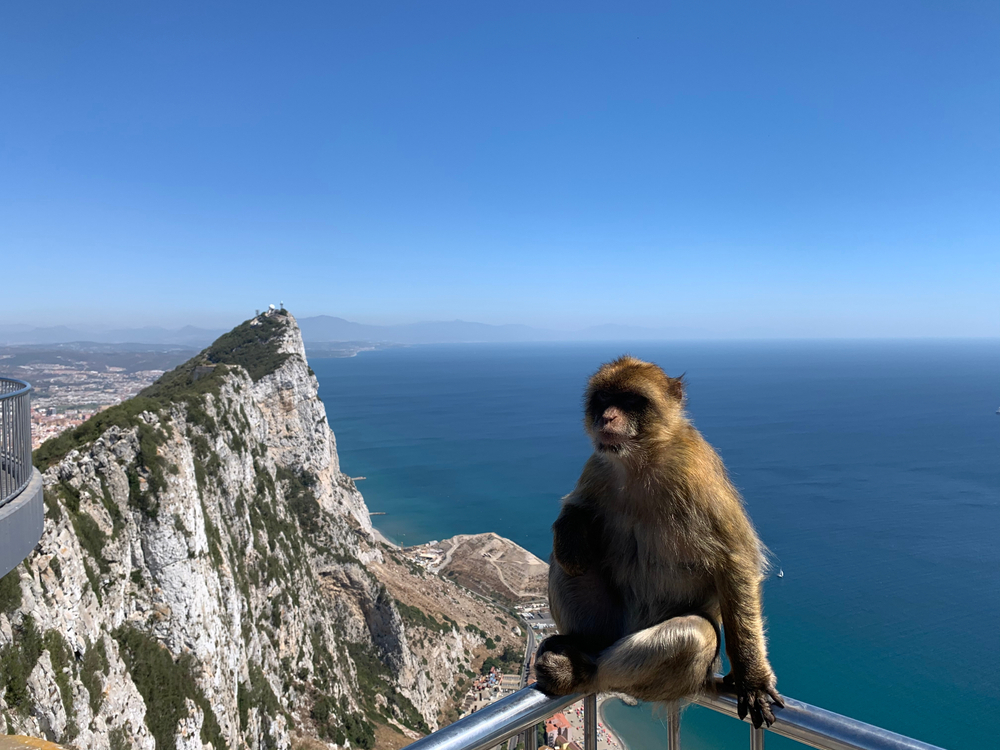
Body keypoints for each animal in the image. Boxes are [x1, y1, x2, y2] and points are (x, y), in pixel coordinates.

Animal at [536, 356, 784, 728]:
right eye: (603, 398)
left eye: (630, 401)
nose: (607, 417)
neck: (639, 461)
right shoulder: (598, 465)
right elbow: (577, 508)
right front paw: (572, 533)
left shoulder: (694, 471)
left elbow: (737, 560)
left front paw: (751, 679)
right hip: (609, 628)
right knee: (565, 564)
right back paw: (576, 644)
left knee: (696, 635)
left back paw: (583, 672)